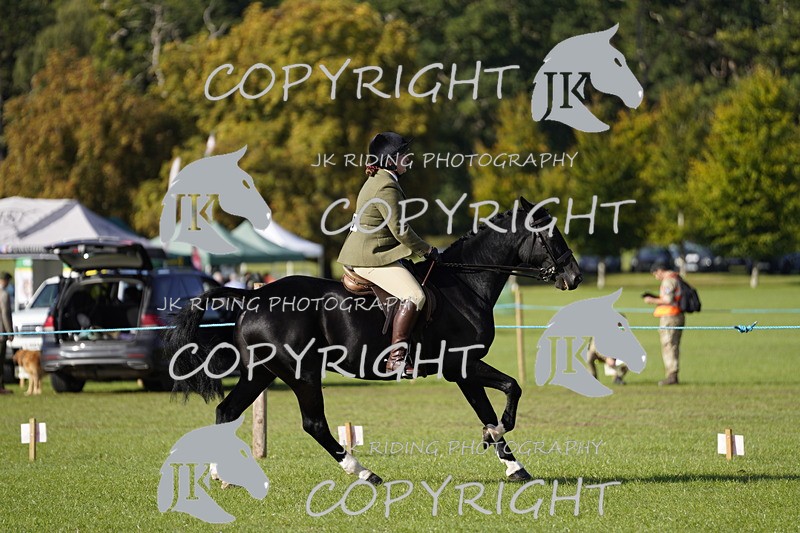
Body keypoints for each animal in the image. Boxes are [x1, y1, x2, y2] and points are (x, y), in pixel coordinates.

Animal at [165, 197, 582, 485]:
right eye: (551, 234)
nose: (575, 277)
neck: (466, 283)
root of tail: (253, 296)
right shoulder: (460, 365)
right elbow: (505, 395)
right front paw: (503, 445)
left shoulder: (463, 370)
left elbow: (495, 403)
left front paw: (510, 462)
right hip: (302, 373)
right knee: (314, 423)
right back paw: (365, 473)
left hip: (262, 371)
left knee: (226, 411)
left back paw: (220, 474)